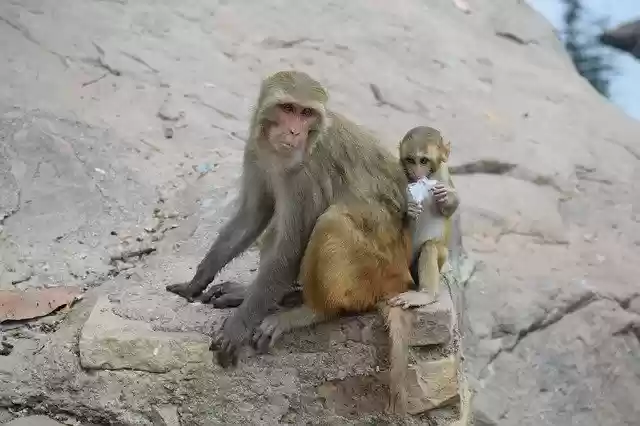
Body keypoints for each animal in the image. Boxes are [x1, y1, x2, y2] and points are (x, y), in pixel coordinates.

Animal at [165, 71, 416, 412]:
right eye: (288, 108)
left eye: (306, 113)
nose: (295, 131)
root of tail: (401, 278)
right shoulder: (254, 150)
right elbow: (254, 214)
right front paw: (198, 280)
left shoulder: (305, 175)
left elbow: (290, 248)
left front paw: (238, 326)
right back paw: (269, 295)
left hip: (374, 271)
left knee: (331, 221)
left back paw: (308, 311)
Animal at [388, 126, 460, 309]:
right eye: (410, 160)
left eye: (423, 161)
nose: (416, 172)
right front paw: (409, 209)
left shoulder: (443, 175)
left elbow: (451, 208)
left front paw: (446, 197)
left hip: (440, 258)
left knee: (430, 247)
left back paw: (426, 295)